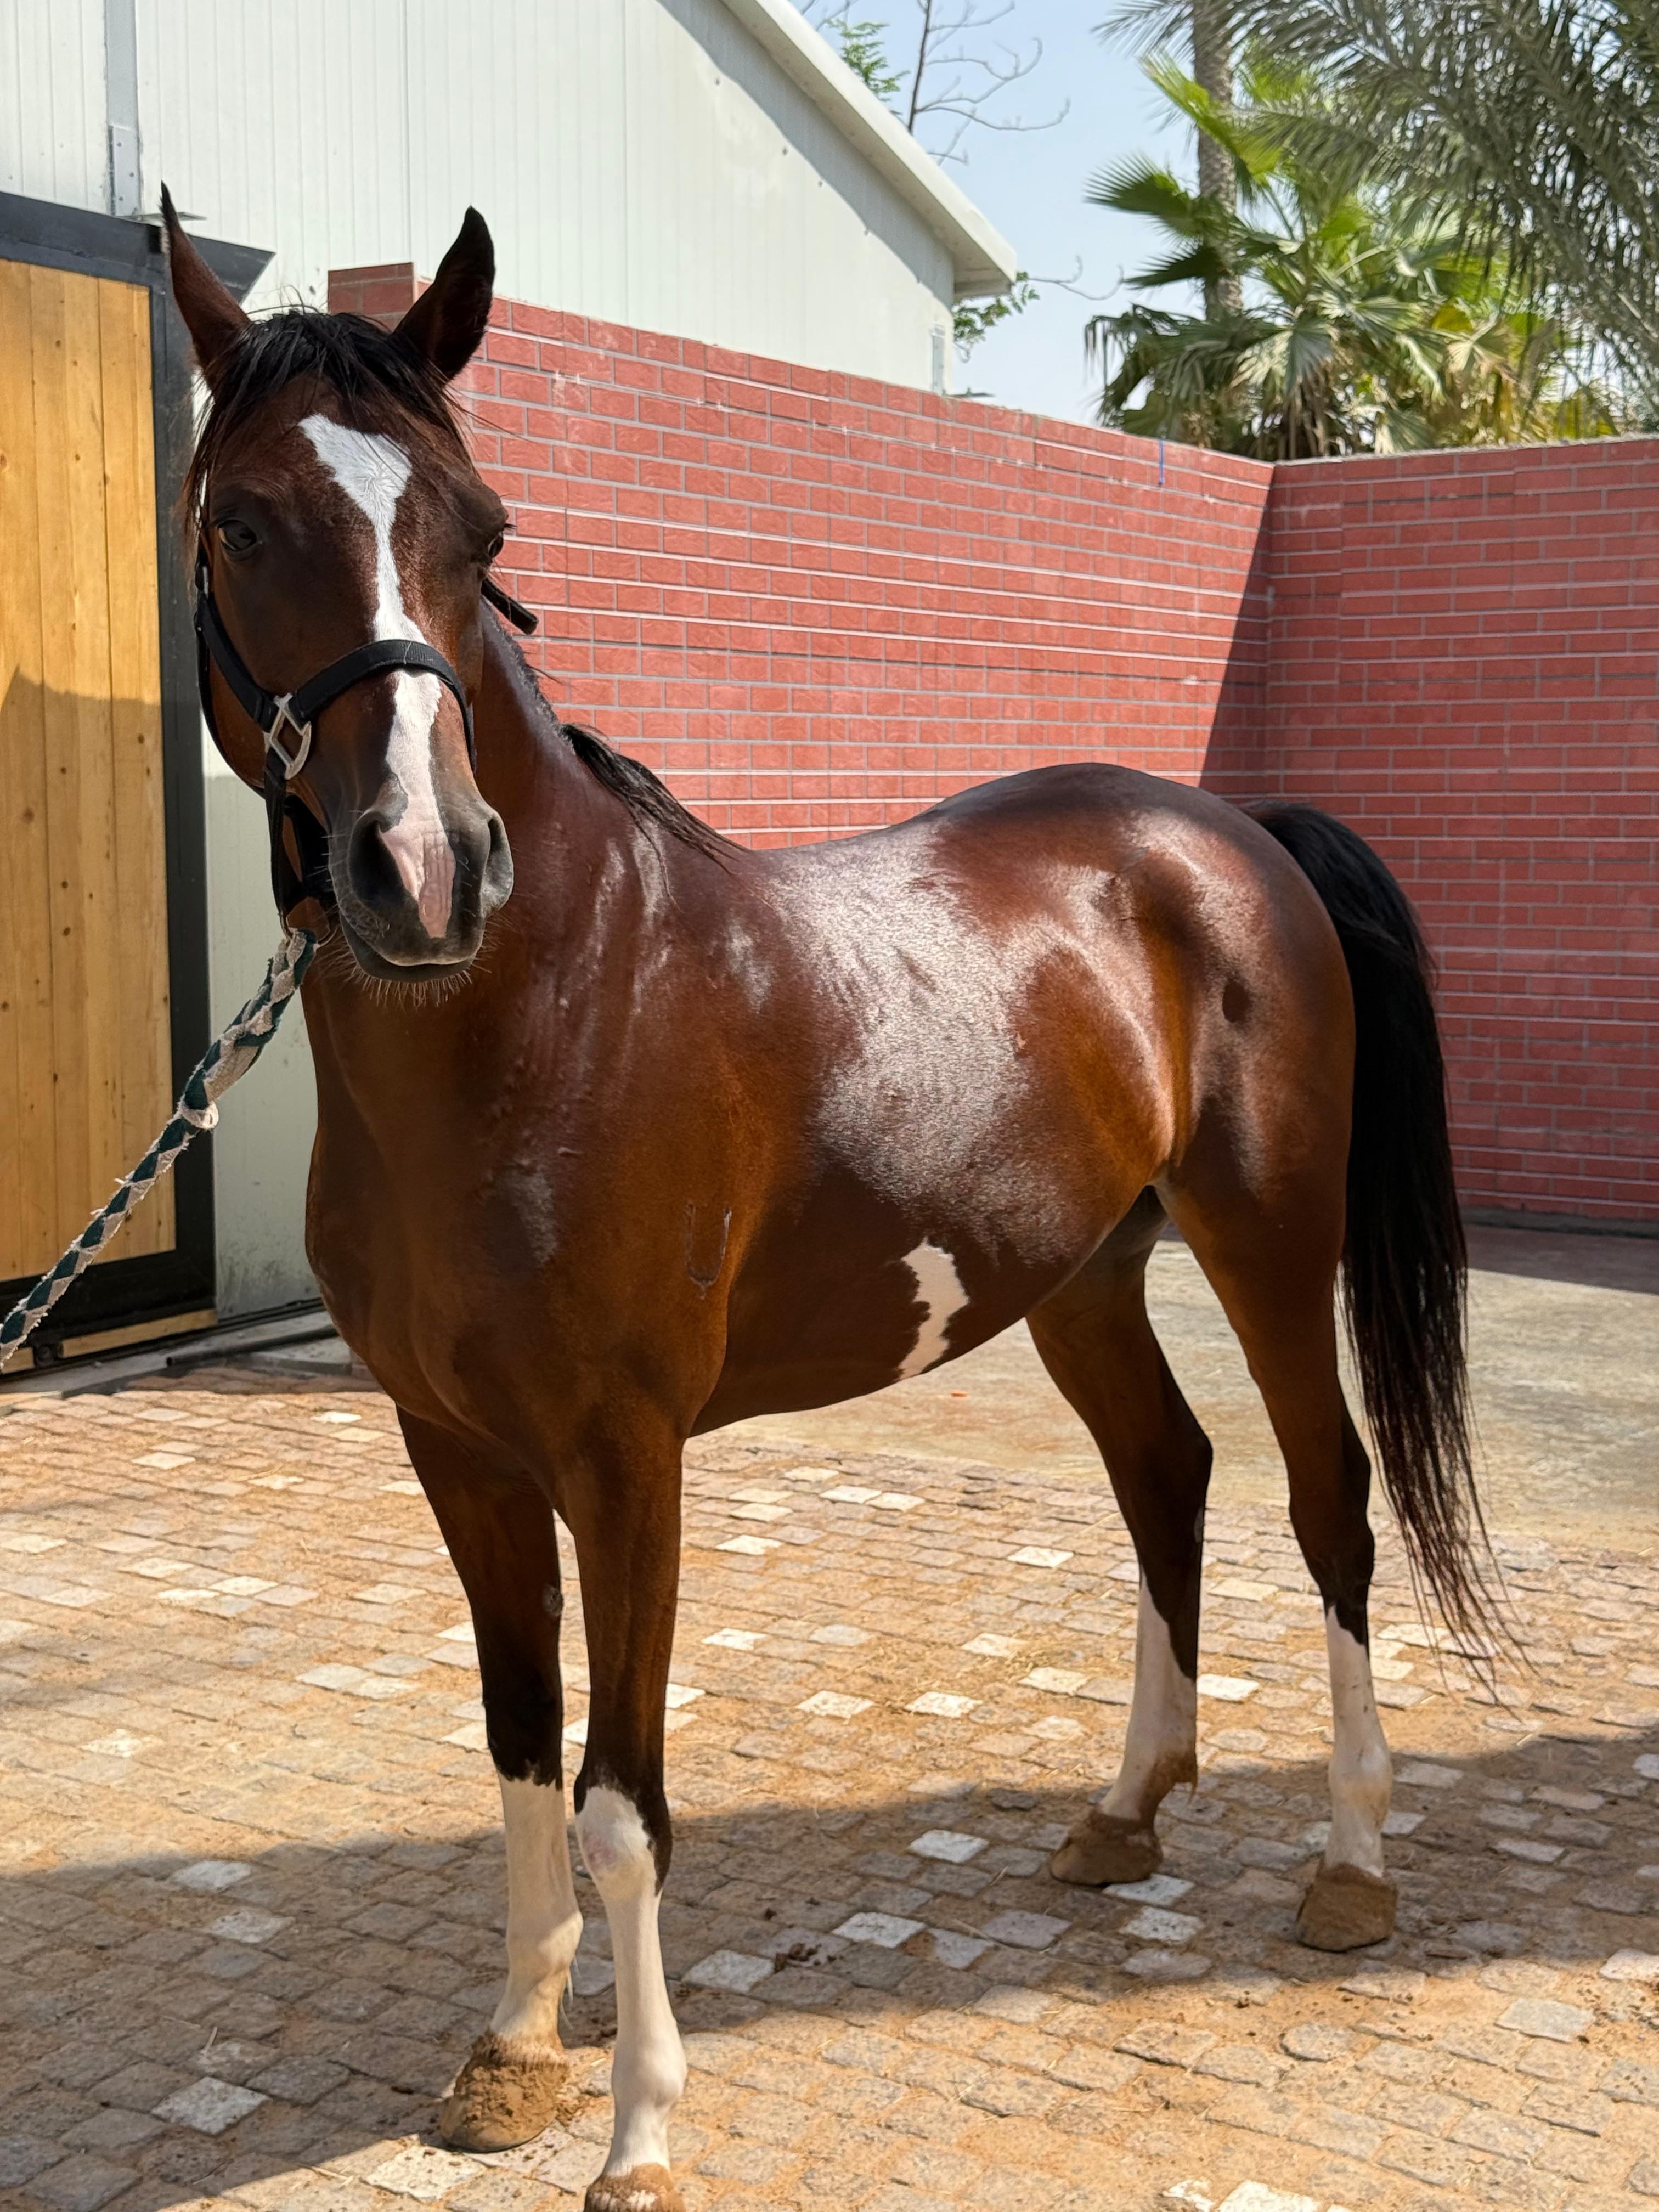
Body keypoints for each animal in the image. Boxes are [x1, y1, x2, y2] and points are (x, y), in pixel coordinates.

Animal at [162, 196, 1490, 2212]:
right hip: (1084, 1275)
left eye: (484, 534)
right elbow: (518, 1751)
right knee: (1165, 1477)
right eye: (243, 523)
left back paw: (1350, 1862)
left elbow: (626, 1803)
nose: (423, 872)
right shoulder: (454, 1454)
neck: (545, 1008)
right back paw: (1125, 1809)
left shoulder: (627, 1460)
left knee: (1324, 1498)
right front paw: (508, 2054)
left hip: (1268, 1242)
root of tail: (1227, 832)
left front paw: (640, 2132)